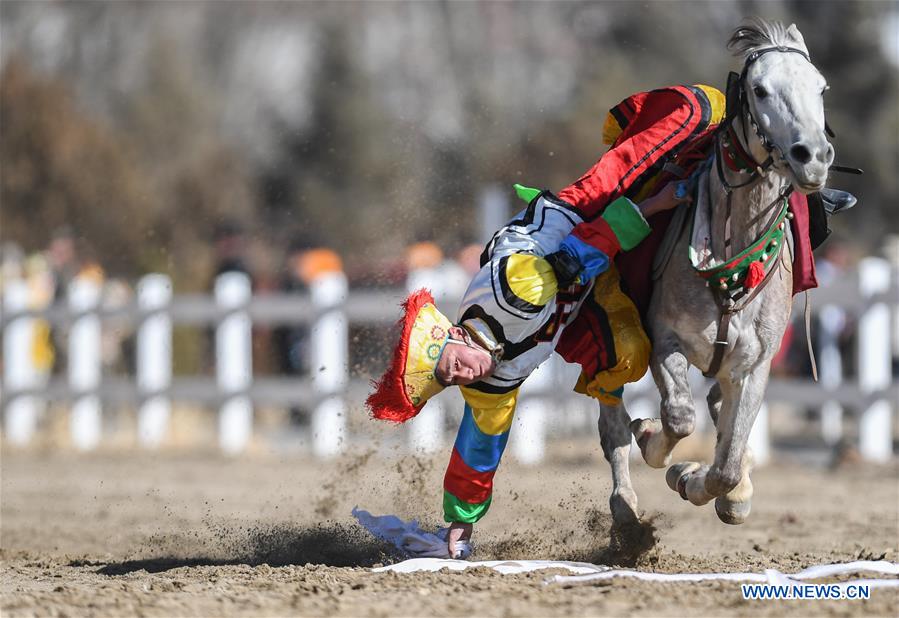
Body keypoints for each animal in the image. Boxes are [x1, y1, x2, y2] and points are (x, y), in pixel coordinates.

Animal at [596, 16, 836, 524]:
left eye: (821, 88)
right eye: (760, 90)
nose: (812, 156)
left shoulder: (755, 365)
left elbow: (726, 463)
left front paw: (704, 482)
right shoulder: (665, 339)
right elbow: (677, 417)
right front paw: (657, 444)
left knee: (719, 412)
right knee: (612, 423)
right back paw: (625, 504)